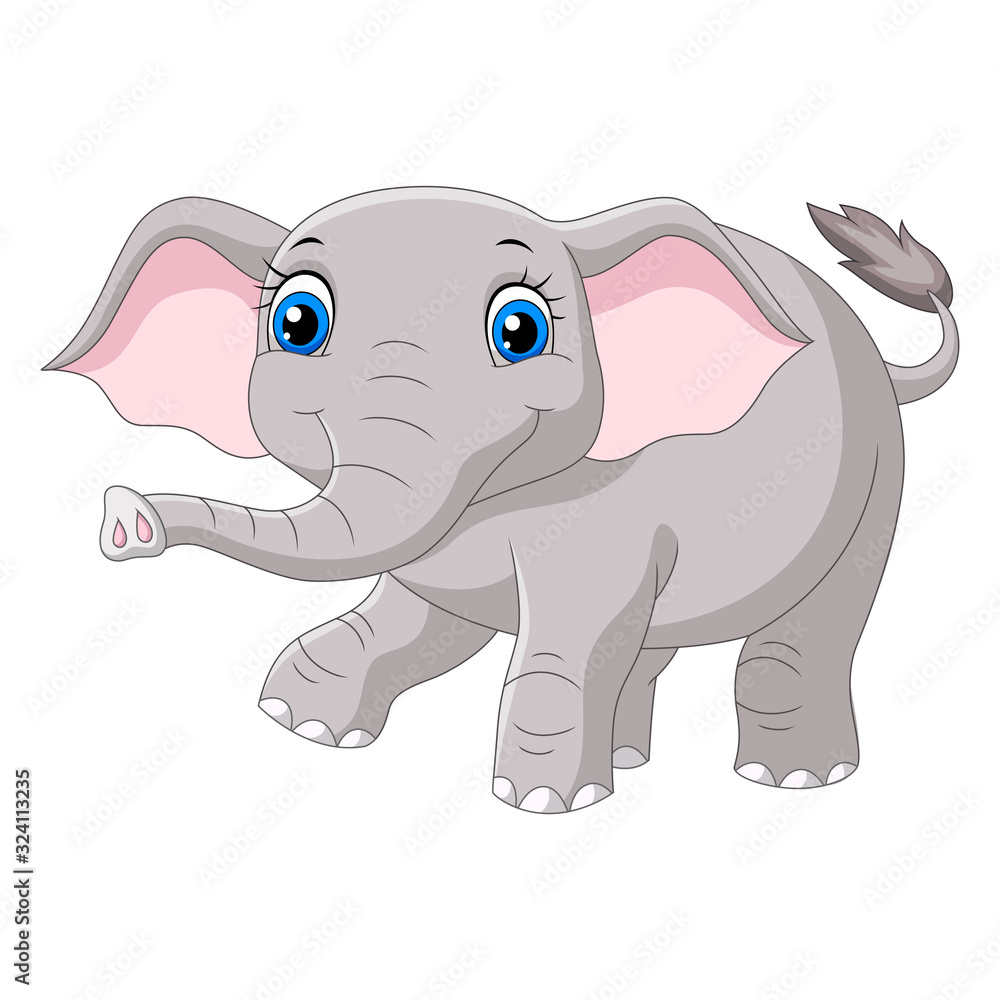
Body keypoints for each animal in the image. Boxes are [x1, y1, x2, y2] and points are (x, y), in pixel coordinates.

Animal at [46, 187, 958, 813]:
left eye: (520, 332)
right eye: (298, 322)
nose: (125, 518)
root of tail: (881, 359)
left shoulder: (607, 512)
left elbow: (567, 634)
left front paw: (543, 802)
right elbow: (421, 627)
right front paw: (299, 722)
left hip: (877, 478)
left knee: (808, 630)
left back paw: (793, 778)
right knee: (650, 641)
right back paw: (627, 763)